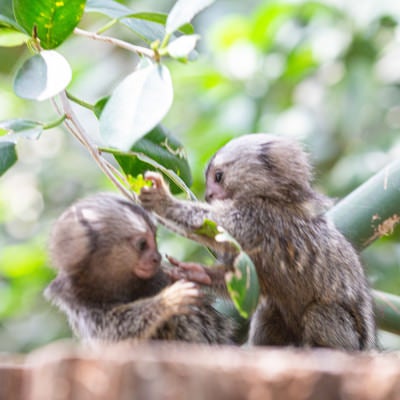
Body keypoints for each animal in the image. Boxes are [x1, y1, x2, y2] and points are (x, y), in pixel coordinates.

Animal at [45, 193, 236, 344]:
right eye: (142, 245)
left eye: (155, 239)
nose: (156, 257)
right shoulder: (78, 301)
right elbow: (113, 332)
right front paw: (167, 300)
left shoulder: (160, 274)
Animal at [139, 134, 376, 350]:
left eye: (218, 177)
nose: (209, 195)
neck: (272, 198)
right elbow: (245, 281)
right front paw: (197, 273)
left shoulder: (259, 219)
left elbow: (215, 224)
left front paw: (163, 201)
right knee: (268, 312)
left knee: (321, 314)